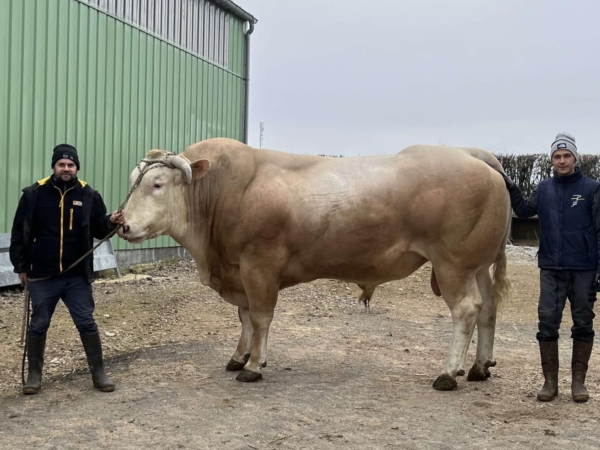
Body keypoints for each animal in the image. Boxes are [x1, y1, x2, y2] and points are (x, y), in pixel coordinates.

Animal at [118, 138, 510, 390]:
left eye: (157, 184)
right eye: (134, 182)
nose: (120, 223)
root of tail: (474, 155)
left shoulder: (258, 265)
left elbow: (260, 317)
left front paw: (254, 365)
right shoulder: (238, 270)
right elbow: (244, 317)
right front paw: (239, 356)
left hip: (452, 264)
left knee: (466, 309)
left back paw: (448, 373)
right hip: (477, 265)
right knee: (488, 309)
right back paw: (479, 367)